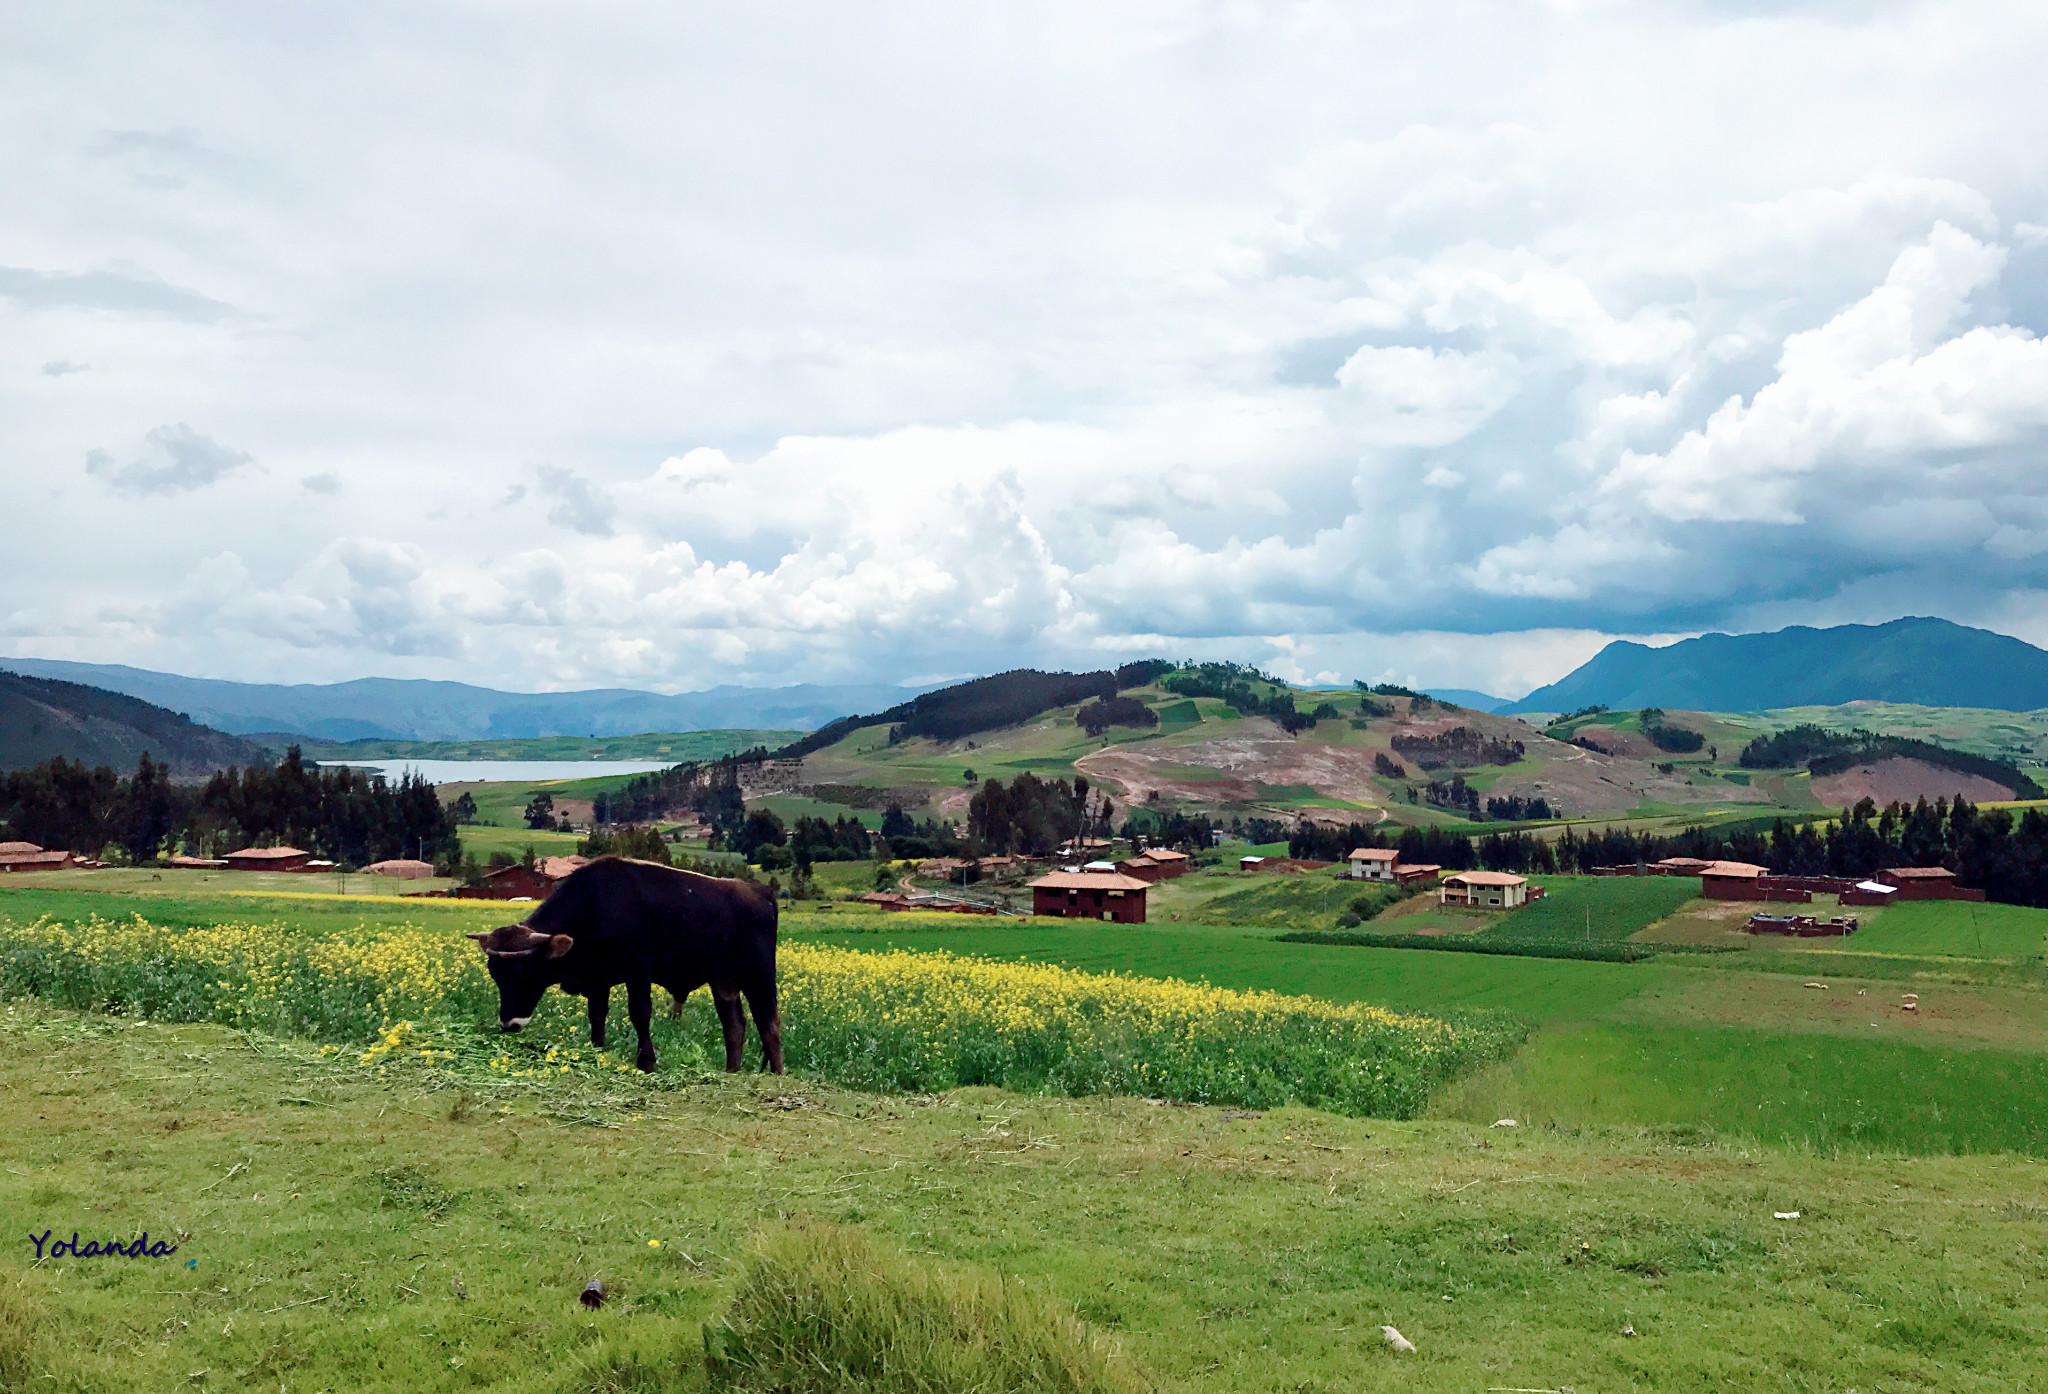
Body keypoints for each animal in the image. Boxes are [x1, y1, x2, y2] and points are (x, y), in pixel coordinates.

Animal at [466, 855, 782, 1072]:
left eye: (526, 973)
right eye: (496, 976)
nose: (509, 1024)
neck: (595, 907)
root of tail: (761, 893)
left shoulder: (638, 973)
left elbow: (640, 1014)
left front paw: (647, 1062)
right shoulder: (598, 980)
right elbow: (597, 1016)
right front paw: (597, 1049)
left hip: (760, 977)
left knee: (769, 1025)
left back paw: (776, 1073)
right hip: (723, 982)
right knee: (734, 1026)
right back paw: (731, 1071)